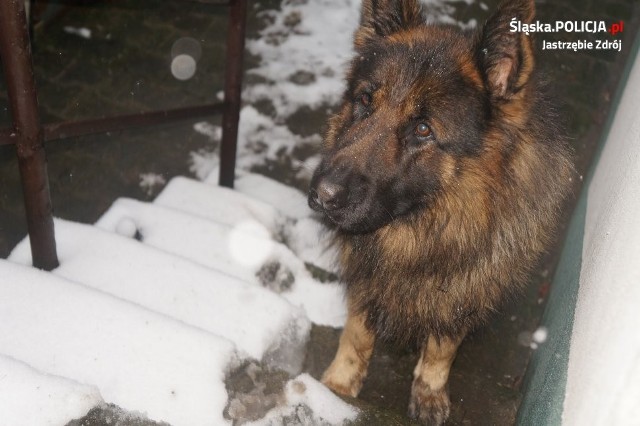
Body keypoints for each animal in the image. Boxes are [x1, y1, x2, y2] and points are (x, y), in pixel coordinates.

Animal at [308, 0, 572, 422]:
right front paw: (338, 385)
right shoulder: (367, 271)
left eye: (423, 130)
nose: (322, 194)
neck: (423, 229)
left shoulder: (469, 281)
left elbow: (443, 344)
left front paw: (429, 390)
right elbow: (357, 332)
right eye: (364, 100)